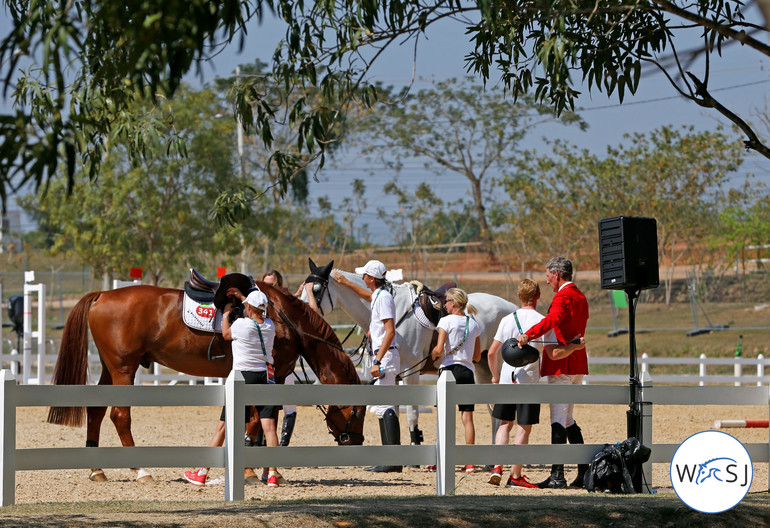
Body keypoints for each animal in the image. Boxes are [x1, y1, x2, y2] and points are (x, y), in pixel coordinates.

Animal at [46, 280, 364, 482]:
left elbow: (256, 420)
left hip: (110, 369)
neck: (283, 318)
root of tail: (102, 295)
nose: (357, 442)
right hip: (124, 368)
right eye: (359, 411)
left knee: (96, 410)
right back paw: (141, 471)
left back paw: (97, 470)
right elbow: (253, 421)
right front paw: (253, 472)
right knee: (120, 415)